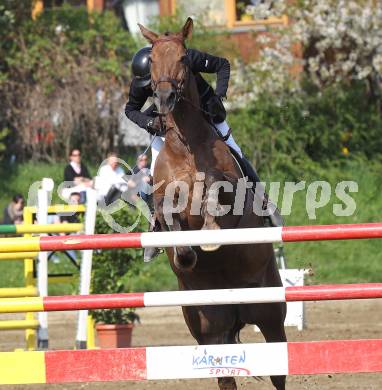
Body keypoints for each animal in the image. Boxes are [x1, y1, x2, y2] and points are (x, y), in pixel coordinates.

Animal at [140, 19, 286, 390]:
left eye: (183, 58)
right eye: (152, 62)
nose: (164, 99)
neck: (186, 144)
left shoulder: (230, 193)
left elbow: (213, 190)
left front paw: (208, 232)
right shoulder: (166, 200)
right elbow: (167, 213)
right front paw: (186, 253)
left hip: (270, 315)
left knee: (279, 369)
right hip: (209, 329)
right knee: (224, 375)